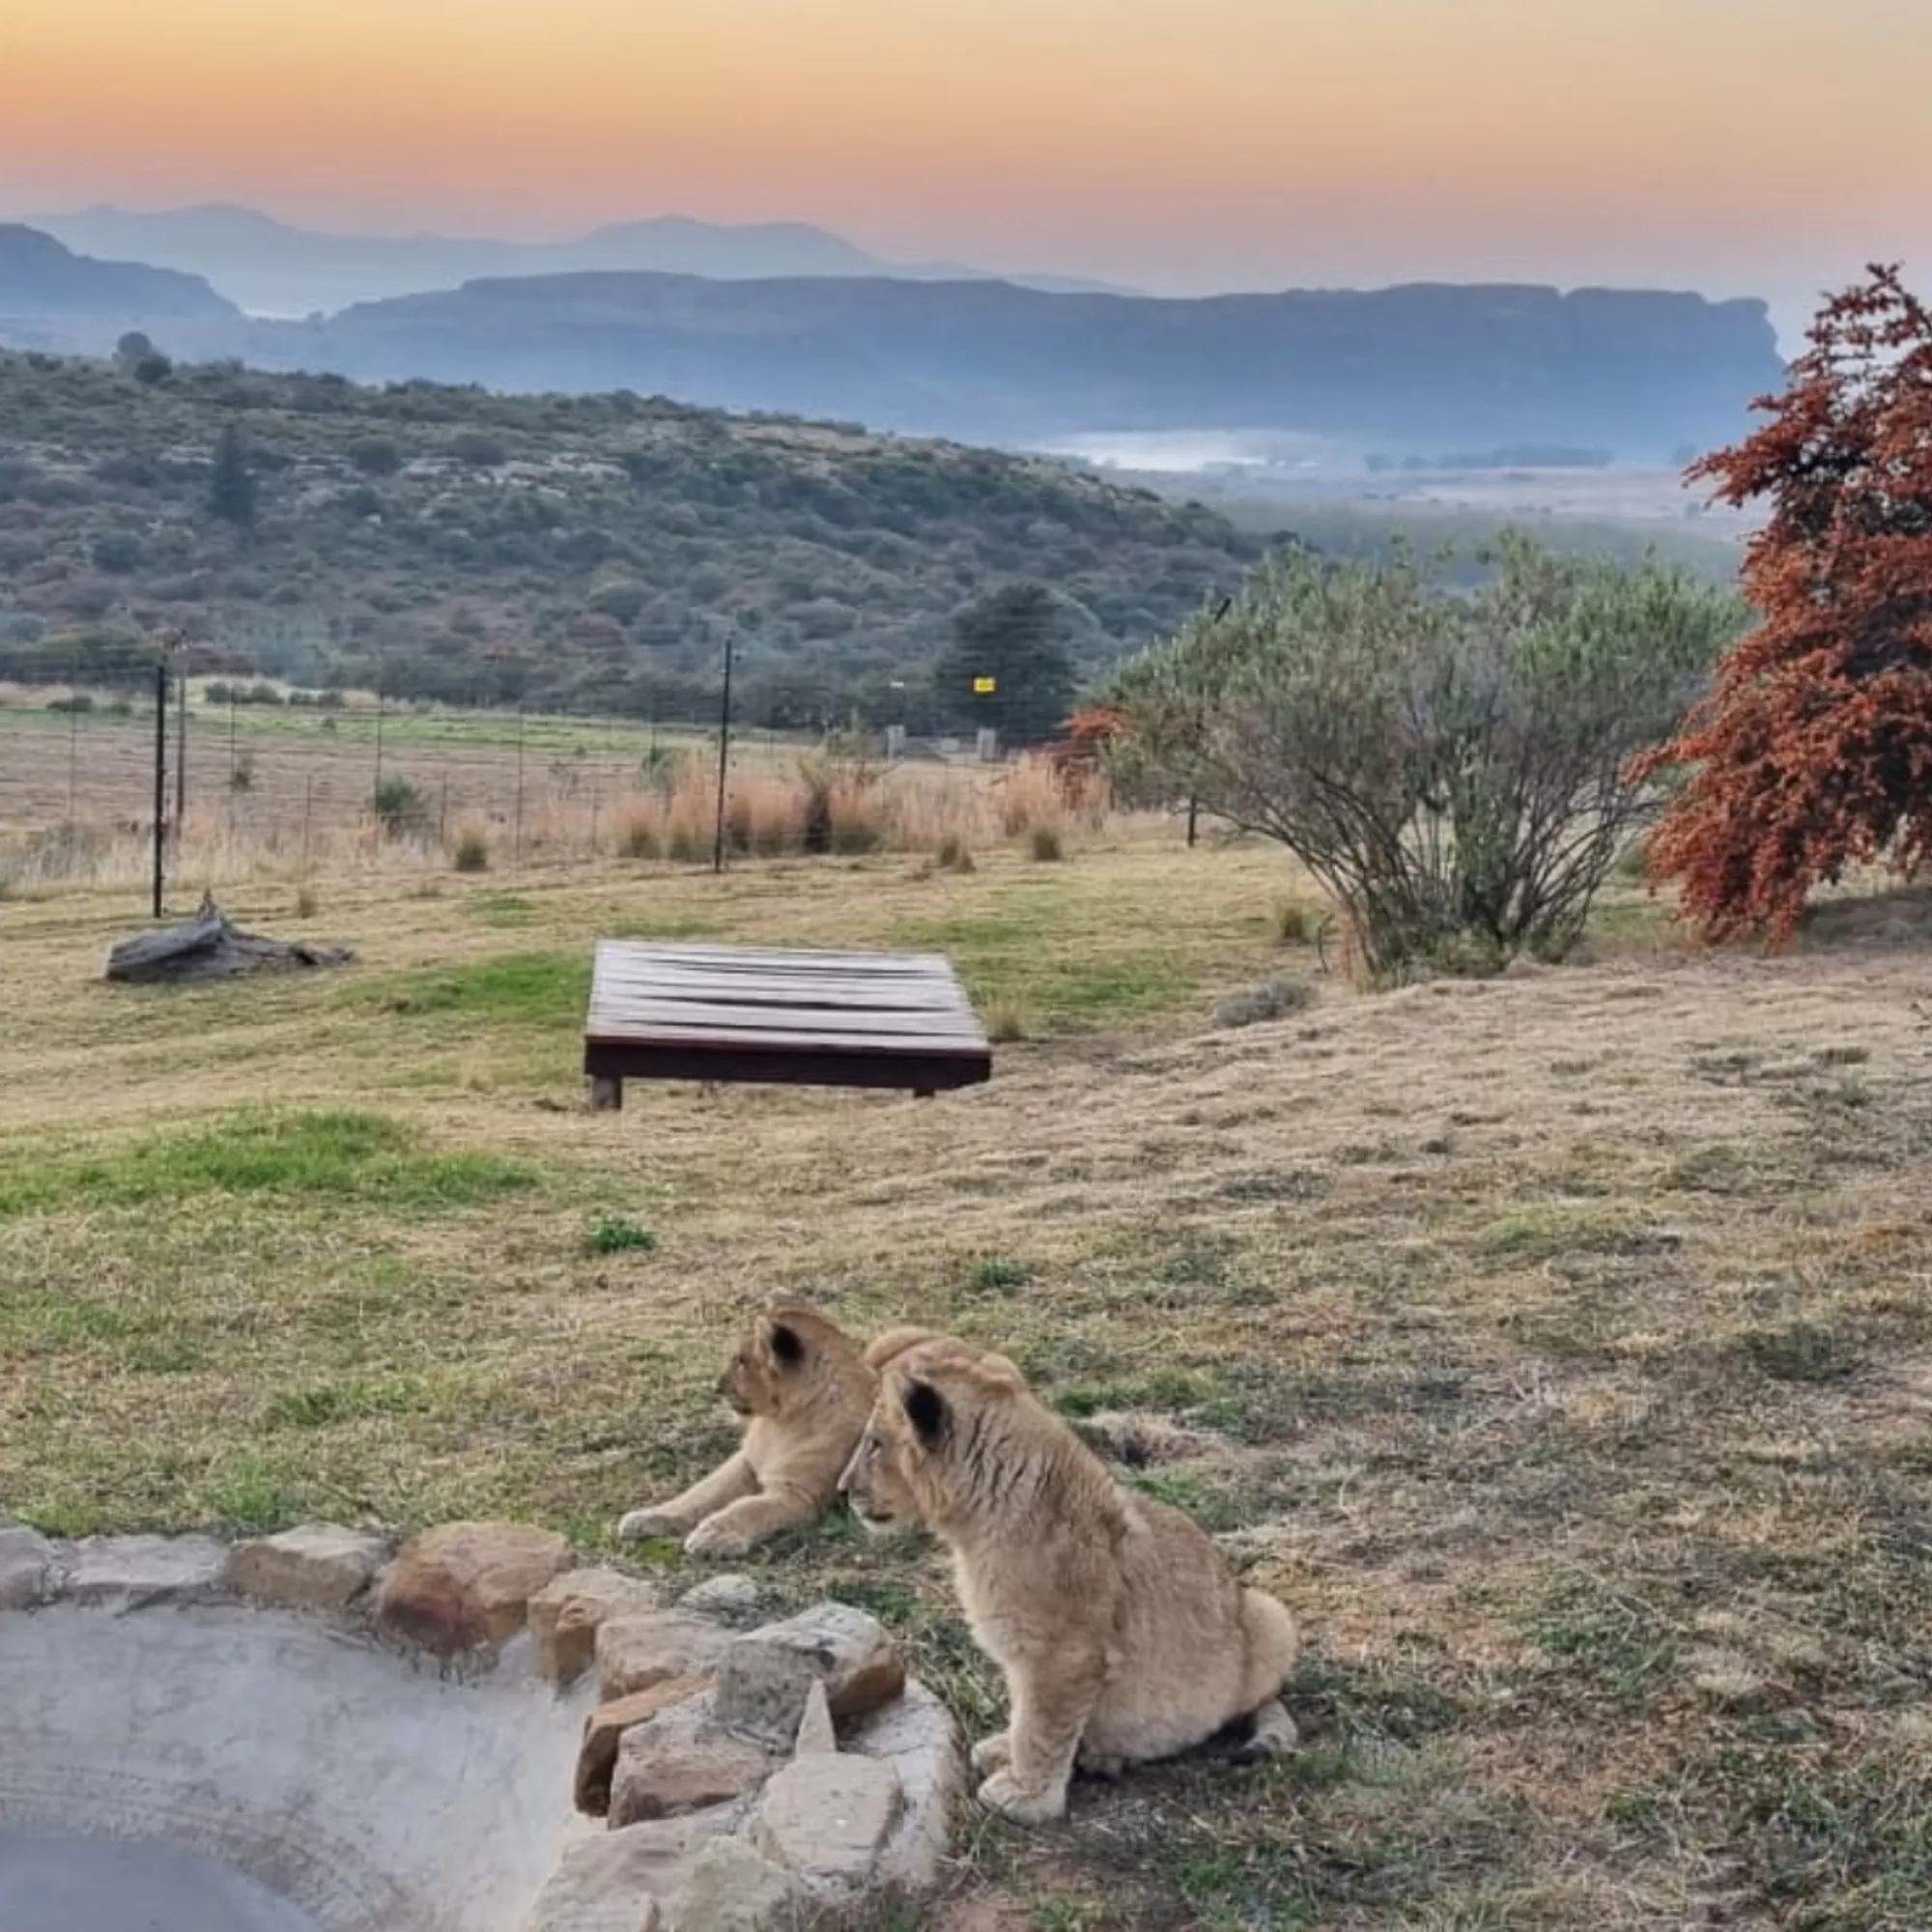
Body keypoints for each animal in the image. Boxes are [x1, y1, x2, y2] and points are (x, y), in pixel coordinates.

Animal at [617, 1304, 935, 1559]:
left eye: (741, 1361)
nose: (717, 1387)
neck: (782, 1422)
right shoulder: (745, 1462)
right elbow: (702, 1492)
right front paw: (646, 1517)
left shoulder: (796, 1494)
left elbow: (747, 1507)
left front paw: (713, 1535)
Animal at [839, 1333, 1300, 1824]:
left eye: (874, 1444)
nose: (844, 1490)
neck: (975, 1521)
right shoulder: (1024, 1654)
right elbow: (1023, 1711)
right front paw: (1006, 1752)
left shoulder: (1064, 1654)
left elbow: (1041, 1726)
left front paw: (1026, 1797)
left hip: (1270, 1615)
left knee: (1260, 1701)